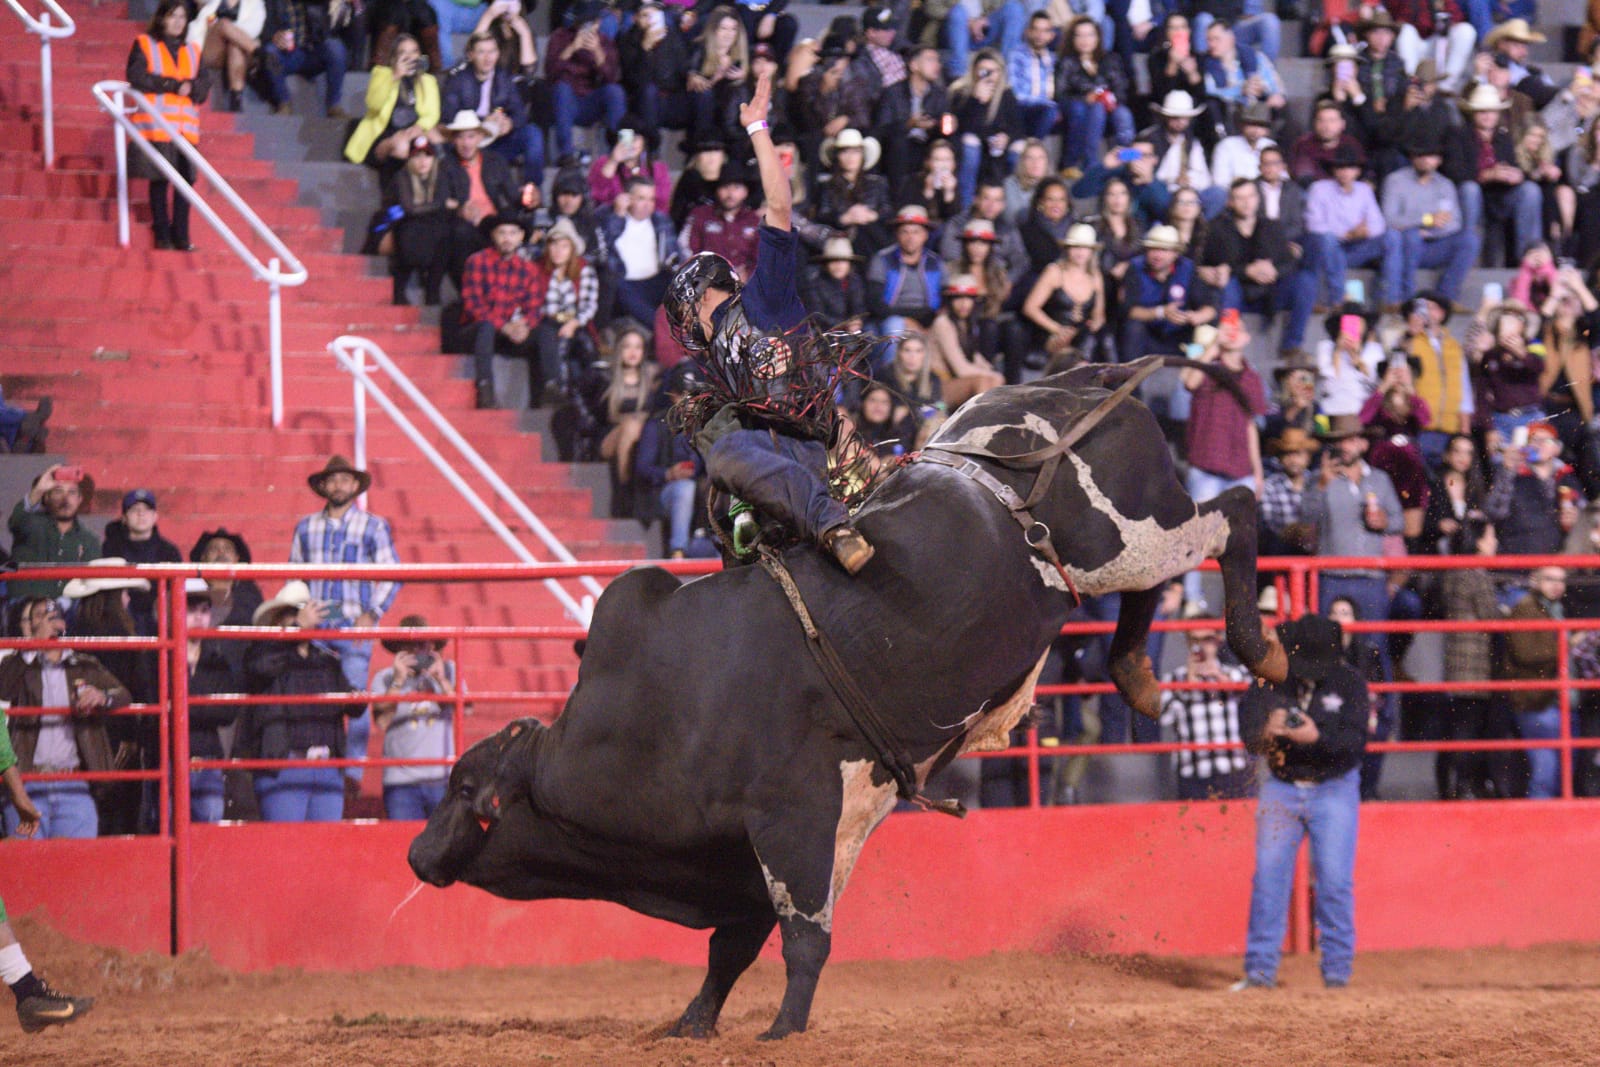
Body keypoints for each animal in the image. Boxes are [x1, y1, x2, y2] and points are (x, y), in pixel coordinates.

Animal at [412, 356, 1286, 1036]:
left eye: (463, 787)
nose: (416, 853)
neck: (650, 721)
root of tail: (1080, 379)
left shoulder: (791, 817)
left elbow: (803, 938)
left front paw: (782, 1031)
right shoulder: (749, 848)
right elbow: (734, 943)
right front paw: (693, 1022)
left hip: (1126, 536)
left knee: (1233, 514)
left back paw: (1257, 644)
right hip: (1120, 554)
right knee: (1158, 581)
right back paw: (1136, 669)